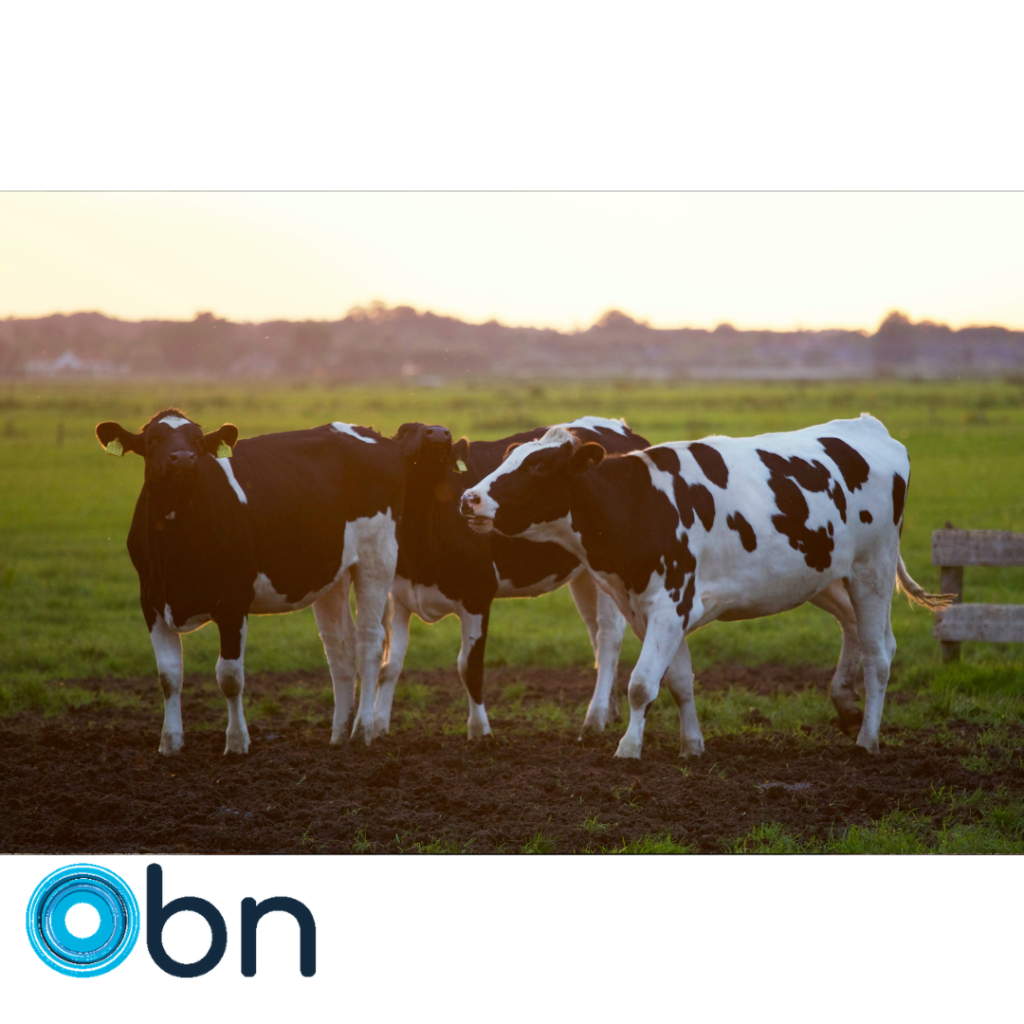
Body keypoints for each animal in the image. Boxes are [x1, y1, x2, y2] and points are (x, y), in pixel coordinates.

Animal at [95, 409, 412, 754]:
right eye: (154, 439)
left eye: (198, 440)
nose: (183, 459)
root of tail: (370, 432)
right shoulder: (151, 600)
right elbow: (168, 676)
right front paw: (170, 743)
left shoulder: (233, 601)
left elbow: (230, 677)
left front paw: (236, 743)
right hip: (334, 572)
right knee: (340, 646)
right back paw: (339, 734)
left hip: (377, 557)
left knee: (370, 641)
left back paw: (362, 730)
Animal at [370, 417, 650, 741]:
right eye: (404, 431)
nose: (439, 433)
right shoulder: (399, 596)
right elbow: (390, 665)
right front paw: (377, 727)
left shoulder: (477, 594)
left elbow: (470, 667)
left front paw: (480, 732)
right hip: (585, 575)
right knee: (595, 634)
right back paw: (609, 711)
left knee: (608, 638)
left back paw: (594, 719)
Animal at [459, 413, 952, 758]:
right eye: (507, 458)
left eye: (539, 467)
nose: (469, 498)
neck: (639, 505)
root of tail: (869, 427)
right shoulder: (652, 610)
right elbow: (678, 681)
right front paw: (691, 746)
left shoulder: (669, 603)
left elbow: (641, 684)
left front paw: (628, 748)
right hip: (825, 575)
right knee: (863, 633)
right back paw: (847, 706)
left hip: (873, 569)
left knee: (878, 655)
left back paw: (867, 739)